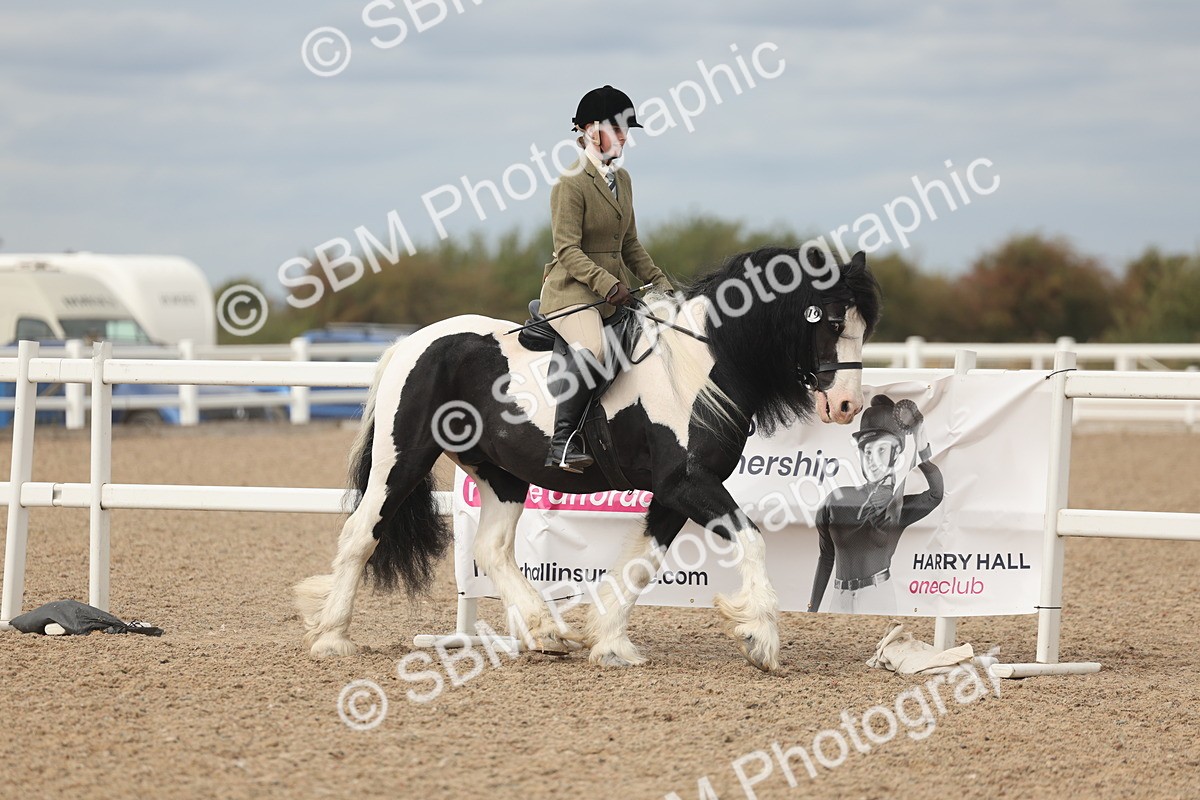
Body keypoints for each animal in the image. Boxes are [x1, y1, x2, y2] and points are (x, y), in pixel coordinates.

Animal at [295, 245, 881, 672]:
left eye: (864, 326)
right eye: (830, 322)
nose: (846, 405)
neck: (702, 362)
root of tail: (413, 342)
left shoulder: (676, 491)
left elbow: (643, 562)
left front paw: (611, 643)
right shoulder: (688, 482)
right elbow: (752, 540)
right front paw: (760, 638)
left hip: (501, 473)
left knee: (492, 548)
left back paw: (545, 631)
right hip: (403, 460)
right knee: (361, 535)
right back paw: (331, 638)